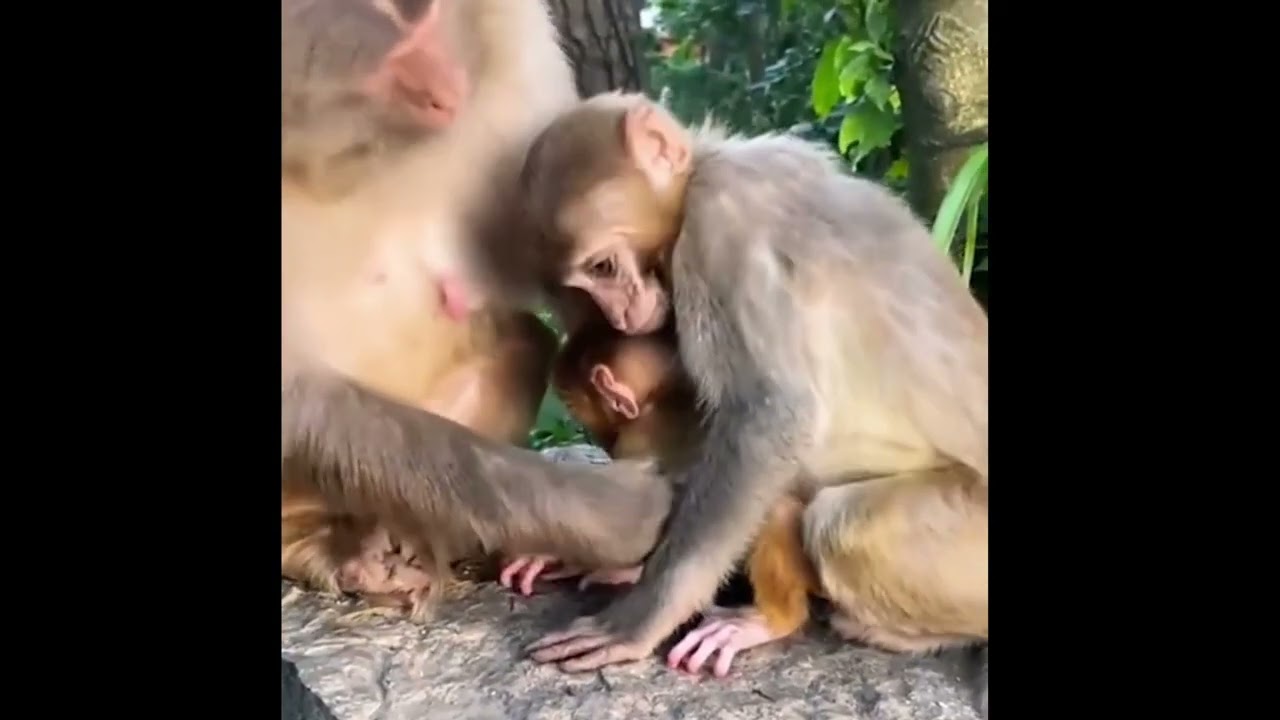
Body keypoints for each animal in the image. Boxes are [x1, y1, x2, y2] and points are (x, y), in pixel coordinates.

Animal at [280, 0, 673, 621]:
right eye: (387, 58)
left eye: (424, 15)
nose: (444, 91)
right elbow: (294, 388)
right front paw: (615, 517)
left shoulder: (520, 47)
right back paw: (322, 544)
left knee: (522, 342)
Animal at [518, 91, 988, 703]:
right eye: (584, 283)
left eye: (603, 265)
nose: (620, 311)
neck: (707, 166)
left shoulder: (718, 229)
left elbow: (769, 415)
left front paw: (640, 615)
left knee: (837, 523)